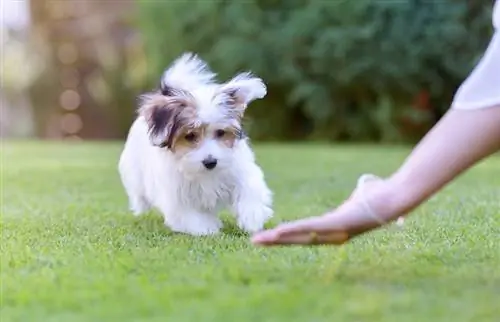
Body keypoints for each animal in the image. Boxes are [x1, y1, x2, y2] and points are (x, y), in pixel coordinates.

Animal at [117, 52, 274, 234]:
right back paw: (141, 206)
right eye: (190, 135)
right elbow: (190, 214)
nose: (211, 162)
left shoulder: (239, 172)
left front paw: (252, 217)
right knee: (139, 192)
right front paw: (207, 228)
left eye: (220, 133)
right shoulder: (177, 194)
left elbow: (249, 190)